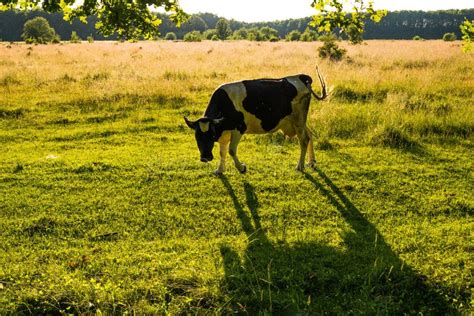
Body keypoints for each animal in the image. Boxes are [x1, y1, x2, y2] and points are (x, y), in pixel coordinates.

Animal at [184, 67, 326, 174]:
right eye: (197, 136)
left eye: (211, 134)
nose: (205, 157)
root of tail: (301, 77)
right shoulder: (224, 132)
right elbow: (222, 151)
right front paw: (220, 170)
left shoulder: (239, 128)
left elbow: (231, 150)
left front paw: (241, 168)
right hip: (298, 122)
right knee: (310, 134)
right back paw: (311, 162)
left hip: (298, 120)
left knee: (304, 140)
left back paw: (300, 166)